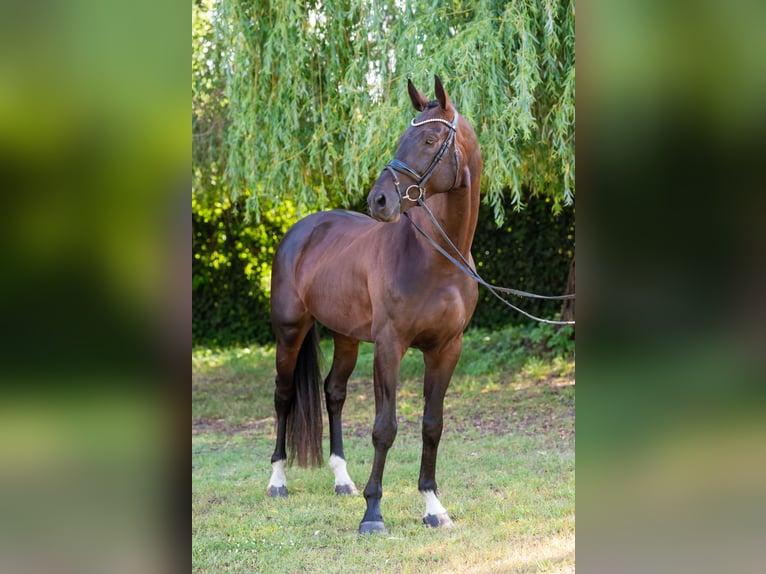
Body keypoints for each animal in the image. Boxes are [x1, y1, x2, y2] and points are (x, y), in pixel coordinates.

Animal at [267, 75, 482, 535]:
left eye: (430, 138)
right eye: (402, 136)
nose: (379, 200)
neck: (437, 257)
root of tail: (303, 229)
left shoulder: (447, 349)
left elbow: (432, 425)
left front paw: (433, 506)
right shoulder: (389, 346)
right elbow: (385, 427)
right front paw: (373, 513)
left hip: (346, 338)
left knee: (334, 392)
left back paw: (342, 479)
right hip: (290, 332)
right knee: (283, 396)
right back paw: (277, 481)